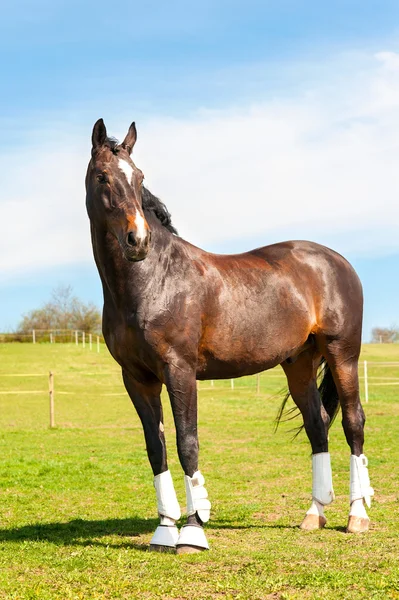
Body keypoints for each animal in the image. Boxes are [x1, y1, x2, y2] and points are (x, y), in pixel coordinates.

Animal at [85, 119, 376, 556]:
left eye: (139, 178)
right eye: (103, 176)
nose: (138, 240)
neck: (153, 280)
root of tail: (336, 261)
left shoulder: (179, 371)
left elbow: (187, 443)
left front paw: (192, 531)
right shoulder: (136, 378)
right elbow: (156, 448)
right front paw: (164, 530)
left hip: (343, 354)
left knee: (353, 422)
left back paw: (357, 515)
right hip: (299, 364)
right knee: (317, 424)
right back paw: (314, 514)